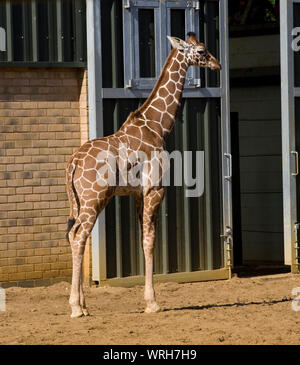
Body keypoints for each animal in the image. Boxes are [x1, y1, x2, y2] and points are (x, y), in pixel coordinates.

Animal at [65, 32, 220, 316]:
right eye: (202, 51)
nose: (218, 65)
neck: (158, 127)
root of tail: (73, 162)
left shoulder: (138, 194)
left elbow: (142, 240)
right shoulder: (155, 189)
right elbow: (150, 241)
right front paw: (152, 303)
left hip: (81, 201)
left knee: (75, 235)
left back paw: (83, 305)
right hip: (93, 198)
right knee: (79, 235)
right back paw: (75, 308)